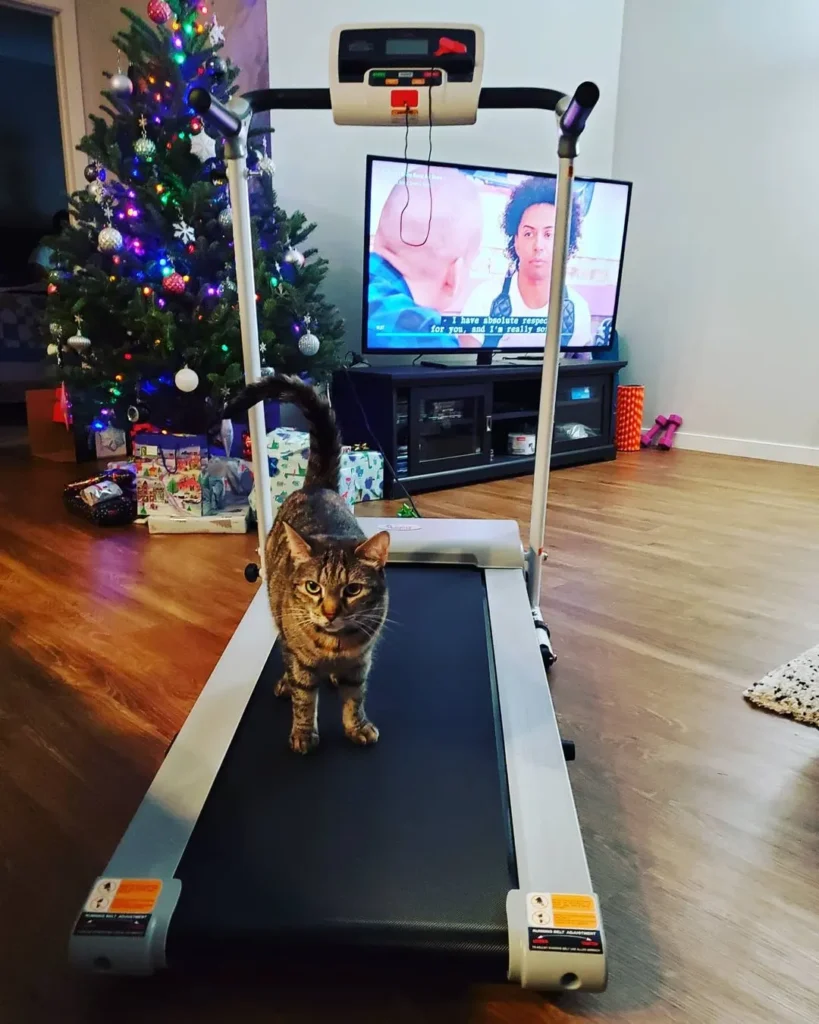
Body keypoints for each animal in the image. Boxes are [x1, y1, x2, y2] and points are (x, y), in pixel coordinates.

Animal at [224, 374, 391, 753]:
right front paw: (303, 732)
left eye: (353, 589)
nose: (329, 612)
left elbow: (354, 698)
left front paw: (357, 726)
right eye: (313, 587)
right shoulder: (301, 660)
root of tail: (318, 486)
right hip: (279, 621)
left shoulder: (361, 662)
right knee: (287, 660)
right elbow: (304, 699)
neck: (334, 644)